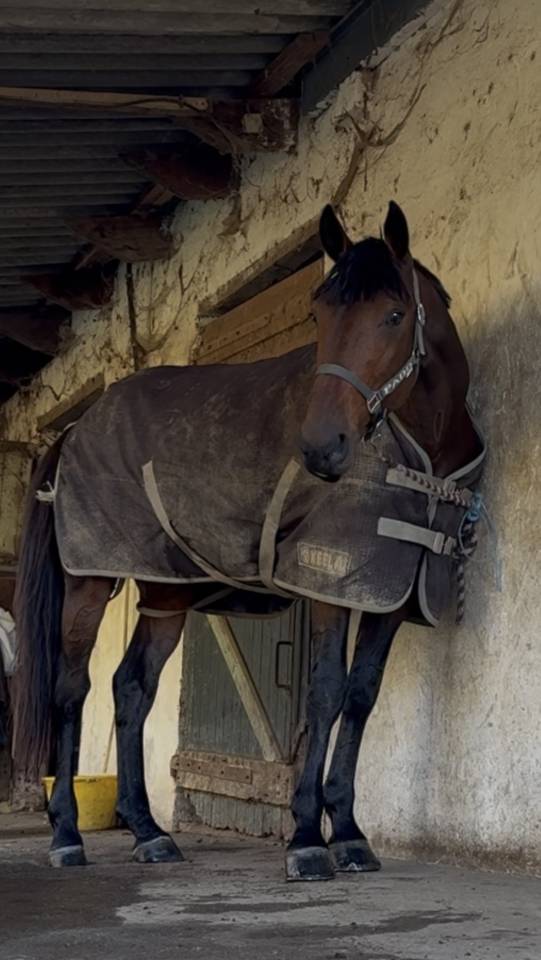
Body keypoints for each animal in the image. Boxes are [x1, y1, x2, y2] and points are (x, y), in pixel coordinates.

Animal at [13, 201, 483, 881]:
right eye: (318, 314)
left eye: (394, 315)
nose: (322, 448)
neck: (419, 450)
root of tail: (74, 429)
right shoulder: (330, 580)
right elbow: (325, 692)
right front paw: (308, 838)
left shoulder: (388, 593)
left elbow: (361, 696)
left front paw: (349, 833)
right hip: (89, 583)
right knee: (72, 689)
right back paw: (67, 835)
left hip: (166, 594)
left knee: (132, 688)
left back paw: (149, 832)